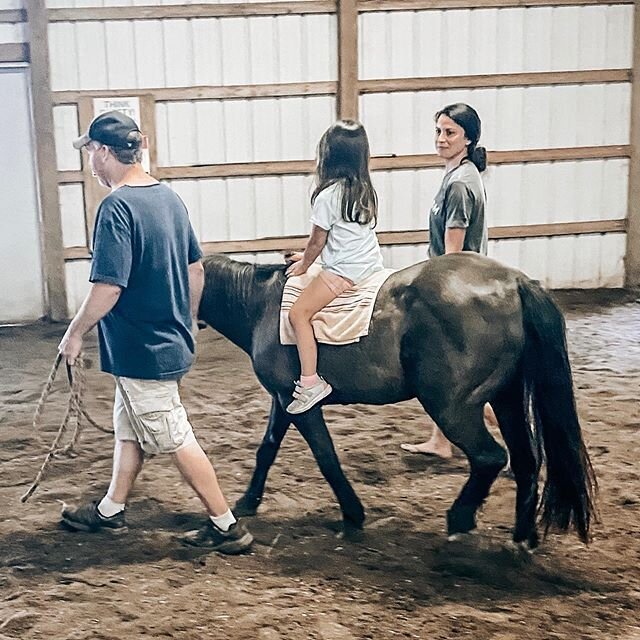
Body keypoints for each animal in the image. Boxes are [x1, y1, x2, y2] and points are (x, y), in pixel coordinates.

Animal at [199, 252, 596, 548]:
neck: (261, 305)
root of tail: (513, 282)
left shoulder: (301, 405)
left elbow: (326, 457)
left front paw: (353, 515)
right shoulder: (285, 399)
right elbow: (266, 448)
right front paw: (247, 502)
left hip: (452, 407)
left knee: (490, 457)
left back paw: (459, 520)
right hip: (506, 398)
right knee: (526, 461)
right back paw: (522, 537)